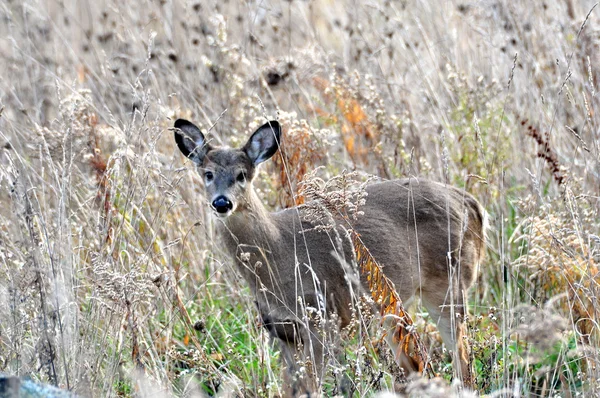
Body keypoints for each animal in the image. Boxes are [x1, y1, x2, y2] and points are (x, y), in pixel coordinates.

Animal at [173, 118, 488, 394]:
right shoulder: (282, 330)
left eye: (242, 174)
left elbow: (312, 386)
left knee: (462, 356)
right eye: (208, 174)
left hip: (449, 282)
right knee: (415, 362)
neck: (277, 256)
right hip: (391, 304)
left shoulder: (322, 319)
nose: (222, 203)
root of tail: (470, 203)